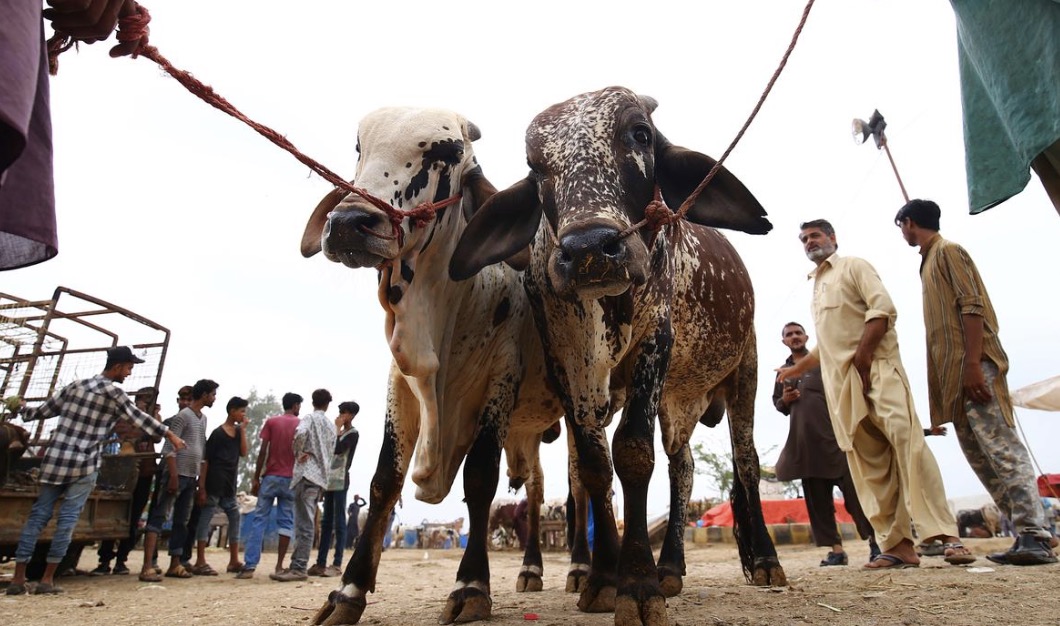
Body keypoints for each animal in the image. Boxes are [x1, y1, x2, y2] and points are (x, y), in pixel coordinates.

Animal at [298, 109, 563, 626]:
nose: (350, 222)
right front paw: (348, 591)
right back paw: (533, 569)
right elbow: (384, 480)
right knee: (538, 491)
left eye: (447, 152)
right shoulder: (400, 386)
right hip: (527, 431)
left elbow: (479, 480)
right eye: (358, 148)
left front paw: (471, 586)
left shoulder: (500, 379)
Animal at [449, 89, 788, 626]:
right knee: (682, 467)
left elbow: (632, 453)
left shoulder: (654, 342)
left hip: (745, 371)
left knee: (747, 463)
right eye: (535, 166)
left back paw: (765, 561)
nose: (590, 248)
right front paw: (604, 579)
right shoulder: (569, 364)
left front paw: (637, 585)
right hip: (677, 400)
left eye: (640, 134)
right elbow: (594, 469)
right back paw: (670, 567)